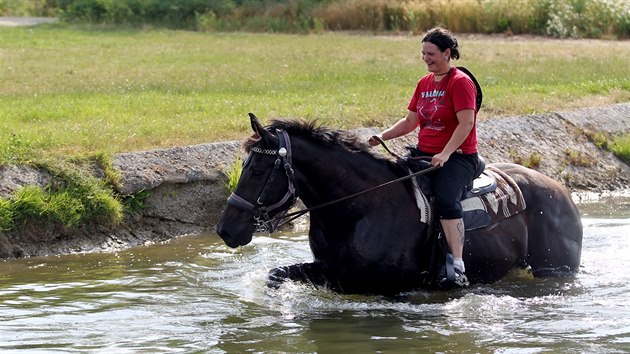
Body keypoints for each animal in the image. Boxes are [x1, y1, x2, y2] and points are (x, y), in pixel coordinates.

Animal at [216, 115, 584, 294]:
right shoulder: (331, 270)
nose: (225, 230)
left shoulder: (388, 287)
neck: (358, 209)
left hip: (555, 267)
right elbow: (276, 275)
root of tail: (561, 190)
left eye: (257, 169)